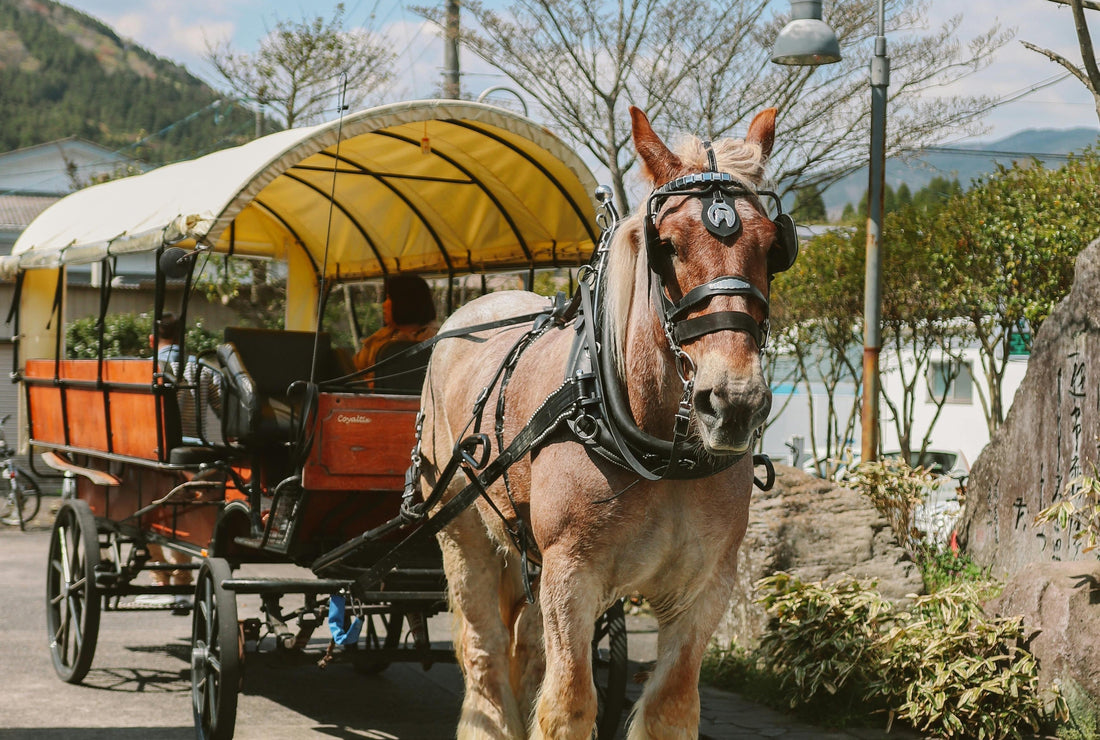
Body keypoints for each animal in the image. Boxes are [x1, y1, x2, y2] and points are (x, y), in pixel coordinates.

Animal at [419, 105, 784, 739]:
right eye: (668, 247)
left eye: (771, 247)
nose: (734, 401)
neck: (658, 452)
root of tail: (475, 309)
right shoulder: (572, 576)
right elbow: (569, 704)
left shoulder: (707, 587)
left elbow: (669, 708)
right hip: (463, 531)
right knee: (483, 649)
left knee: (524, 650)